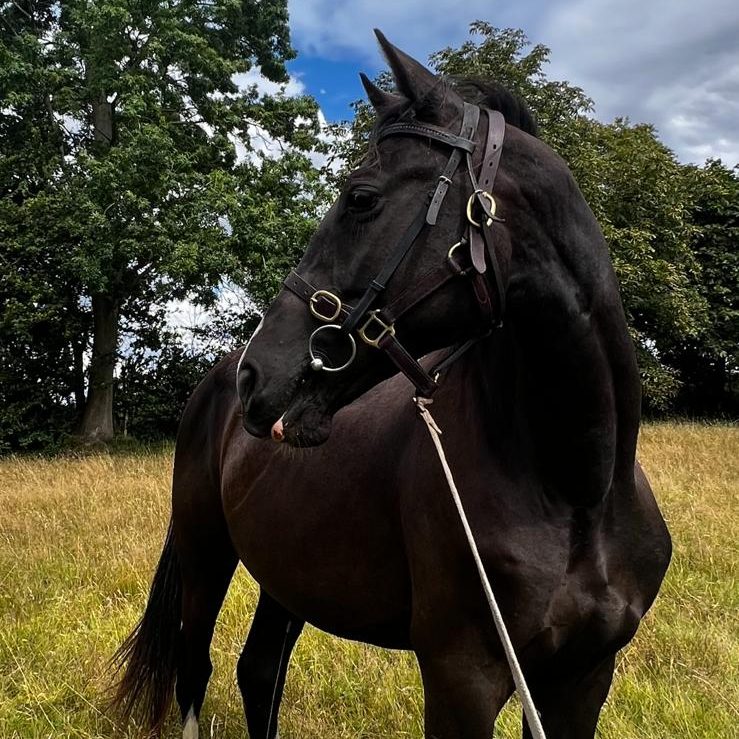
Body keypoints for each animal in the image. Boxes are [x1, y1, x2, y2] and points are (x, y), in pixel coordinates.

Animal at [112, 30, 672, 739]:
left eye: (361, 198)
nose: (254, 376)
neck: (579, 487)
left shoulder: (581, 679)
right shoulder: (462, 676)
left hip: (285, 574)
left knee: (258, 670)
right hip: (204, 555)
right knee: (197, 668)